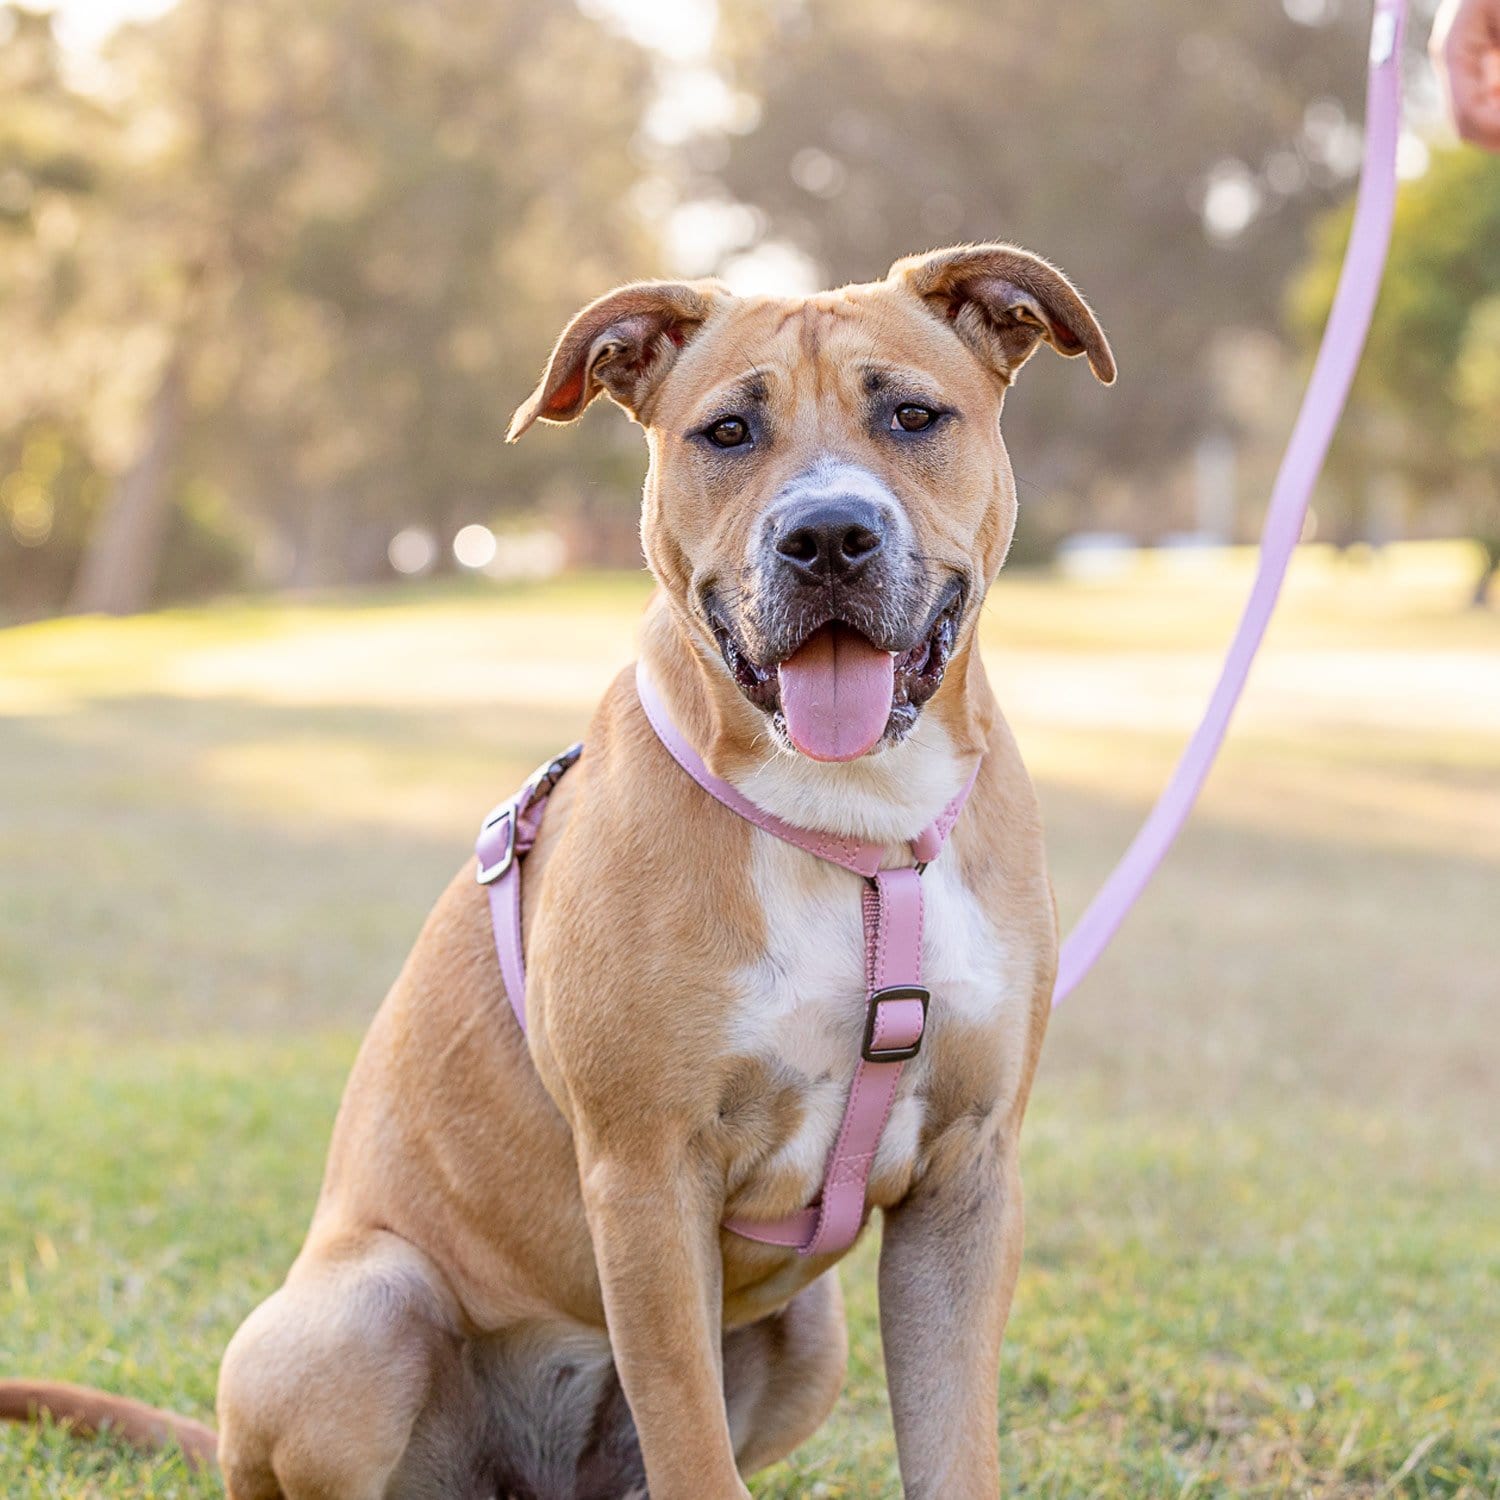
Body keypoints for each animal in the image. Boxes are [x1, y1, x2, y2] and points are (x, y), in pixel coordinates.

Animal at [2, 240, 1116, 1494]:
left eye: (914, 416)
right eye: (728, 431)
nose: (828, 536)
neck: (857, 829)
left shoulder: (967, 1176)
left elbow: (948, 1443)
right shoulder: (645, 1176)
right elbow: (692, 1443)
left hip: (811, 1336)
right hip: (357, 1314)